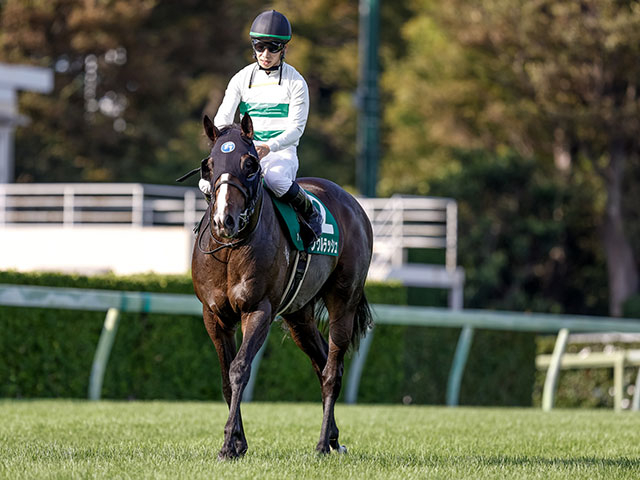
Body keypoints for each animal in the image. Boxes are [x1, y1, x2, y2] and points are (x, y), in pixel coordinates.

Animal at [190, 113, 373, 459]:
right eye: (209, 165)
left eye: (250, 164)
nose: (224, 221)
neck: (230, 251)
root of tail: (351, 202)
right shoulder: (213, 315)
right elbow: (225, 378)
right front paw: (238, 443)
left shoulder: (258, 310)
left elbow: (239, 369)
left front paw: (228, 444)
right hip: (299, 315)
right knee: (320, 363)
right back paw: (333, 438)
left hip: (344, 300)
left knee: (332, 371)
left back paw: (322, 444)